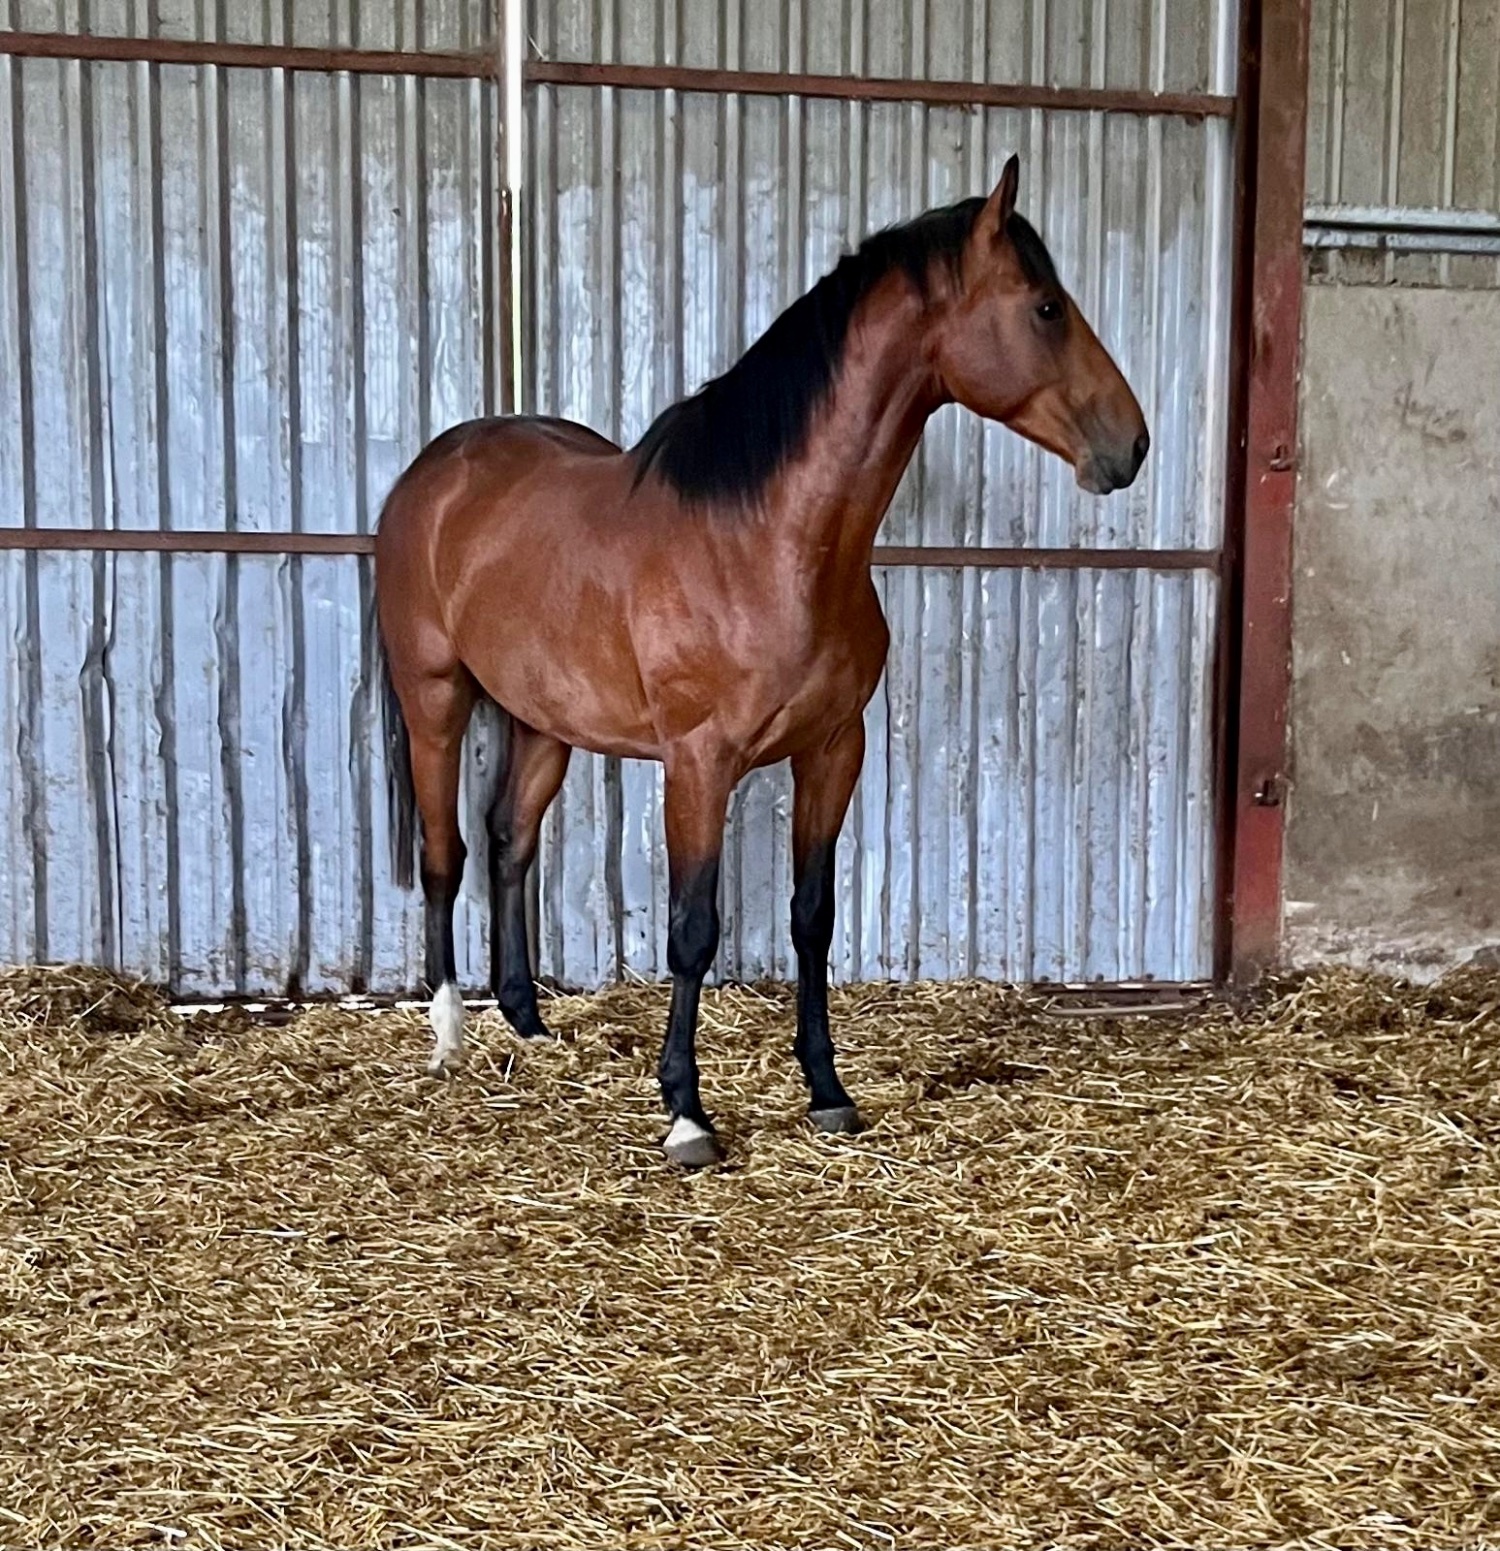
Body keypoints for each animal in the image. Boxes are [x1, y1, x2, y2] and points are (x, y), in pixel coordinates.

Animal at [374, 155, 1148, 1167]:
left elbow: (811, 919)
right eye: (1047, 307)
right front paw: (686, 1112)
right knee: (446, 852)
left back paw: (527, 1023)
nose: (1132, 444)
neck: (767, 542)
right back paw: (448, 1036)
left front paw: (827, 1090)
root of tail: (436, 472)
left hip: (545, 718)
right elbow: (693, 928)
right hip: (434, 699)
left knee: (510, 837)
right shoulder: (700, 764)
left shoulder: (834, 749)